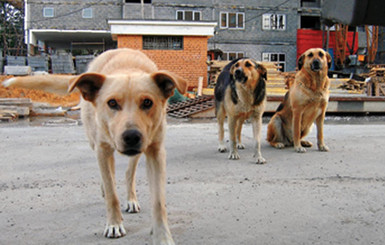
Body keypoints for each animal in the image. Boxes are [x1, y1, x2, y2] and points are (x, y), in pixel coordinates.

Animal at [3, 47, 186, 243]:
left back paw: (131, 199)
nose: (131, 136)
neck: (127, 69)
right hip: (96, 143)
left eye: (147, 102)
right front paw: (114, 224)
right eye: (112, 103)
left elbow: (158, 202)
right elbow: (112, 193)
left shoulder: (155, 151)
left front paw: (163, 237)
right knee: (109, 176)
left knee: (128, 172)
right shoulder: (102, 149)